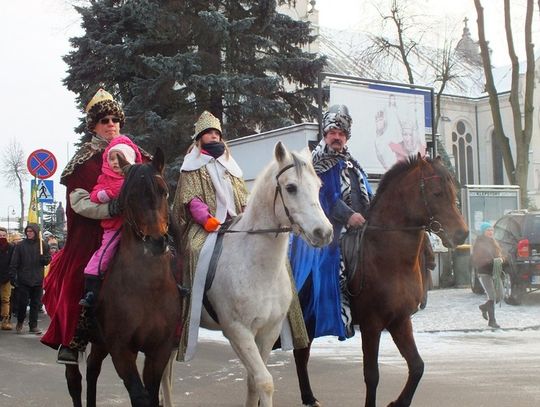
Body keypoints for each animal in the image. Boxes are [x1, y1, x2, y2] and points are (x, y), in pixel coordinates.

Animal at [65, 150, 181, 407]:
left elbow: (151, 395)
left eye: (164, 191)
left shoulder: (159, 350)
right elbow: (139, 396)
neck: (149, 289)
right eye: (130, 196)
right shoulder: (122, 349)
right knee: (74, 379)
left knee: (92, 369)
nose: (156, 242)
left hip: (100, 342)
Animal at [160, 141, 334, 407]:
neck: (257, 267)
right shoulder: (238, 331)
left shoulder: (268, 331)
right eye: (291, 187)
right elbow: (264, 381)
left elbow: (253, 382)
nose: (323, 232)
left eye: (318, 186)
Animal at [294, 156, 466, 407]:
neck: (387, 255)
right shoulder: (371, 324)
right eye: (436, 193)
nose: (462, 234)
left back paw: (308, 397)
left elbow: (417, 366)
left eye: (453, 191)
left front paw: (399, 402)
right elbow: (372, 374)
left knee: (301, 354)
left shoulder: (400, 321)